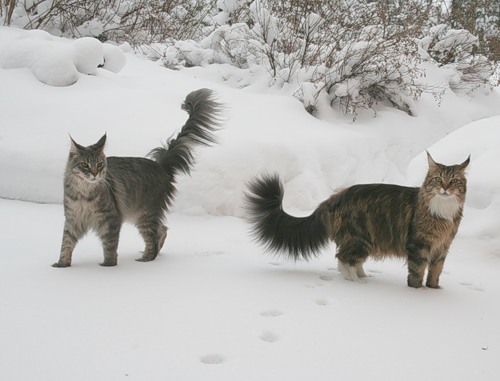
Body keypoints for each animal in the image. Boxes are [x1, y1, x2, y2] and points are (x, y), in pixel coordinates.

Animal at [52, 88, 221, 268]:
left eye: (99, 164)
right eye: (84, 165)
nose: (95, 173)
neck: (84, 193)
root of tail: (161, 166)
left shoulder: (111, 218)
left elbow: (110, 245)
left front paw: (108, 265)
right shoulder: (72, 219)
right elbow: (66, 244)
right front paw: (62, 264)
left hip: (145, 214)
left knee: (154, 236)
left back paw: (147, 258)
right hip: (142, 214)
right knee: (162, 229)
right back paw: (153, 253)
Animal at [244, 153, 470, 286]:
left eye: (454, 181)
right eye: (438, 179)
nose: (445, 188)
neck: (443, 212)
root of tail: (334, 198)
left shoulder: (442, 247)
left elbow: (435, 272)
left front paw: (434, 289)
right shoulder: (419, 245)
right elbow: (416, 272)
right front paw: (418, 292)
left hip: (363, 240)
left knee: (348, 259)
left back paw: (363, 276)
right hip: (360, 238)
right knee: (343, 259)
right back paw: (355, 281)